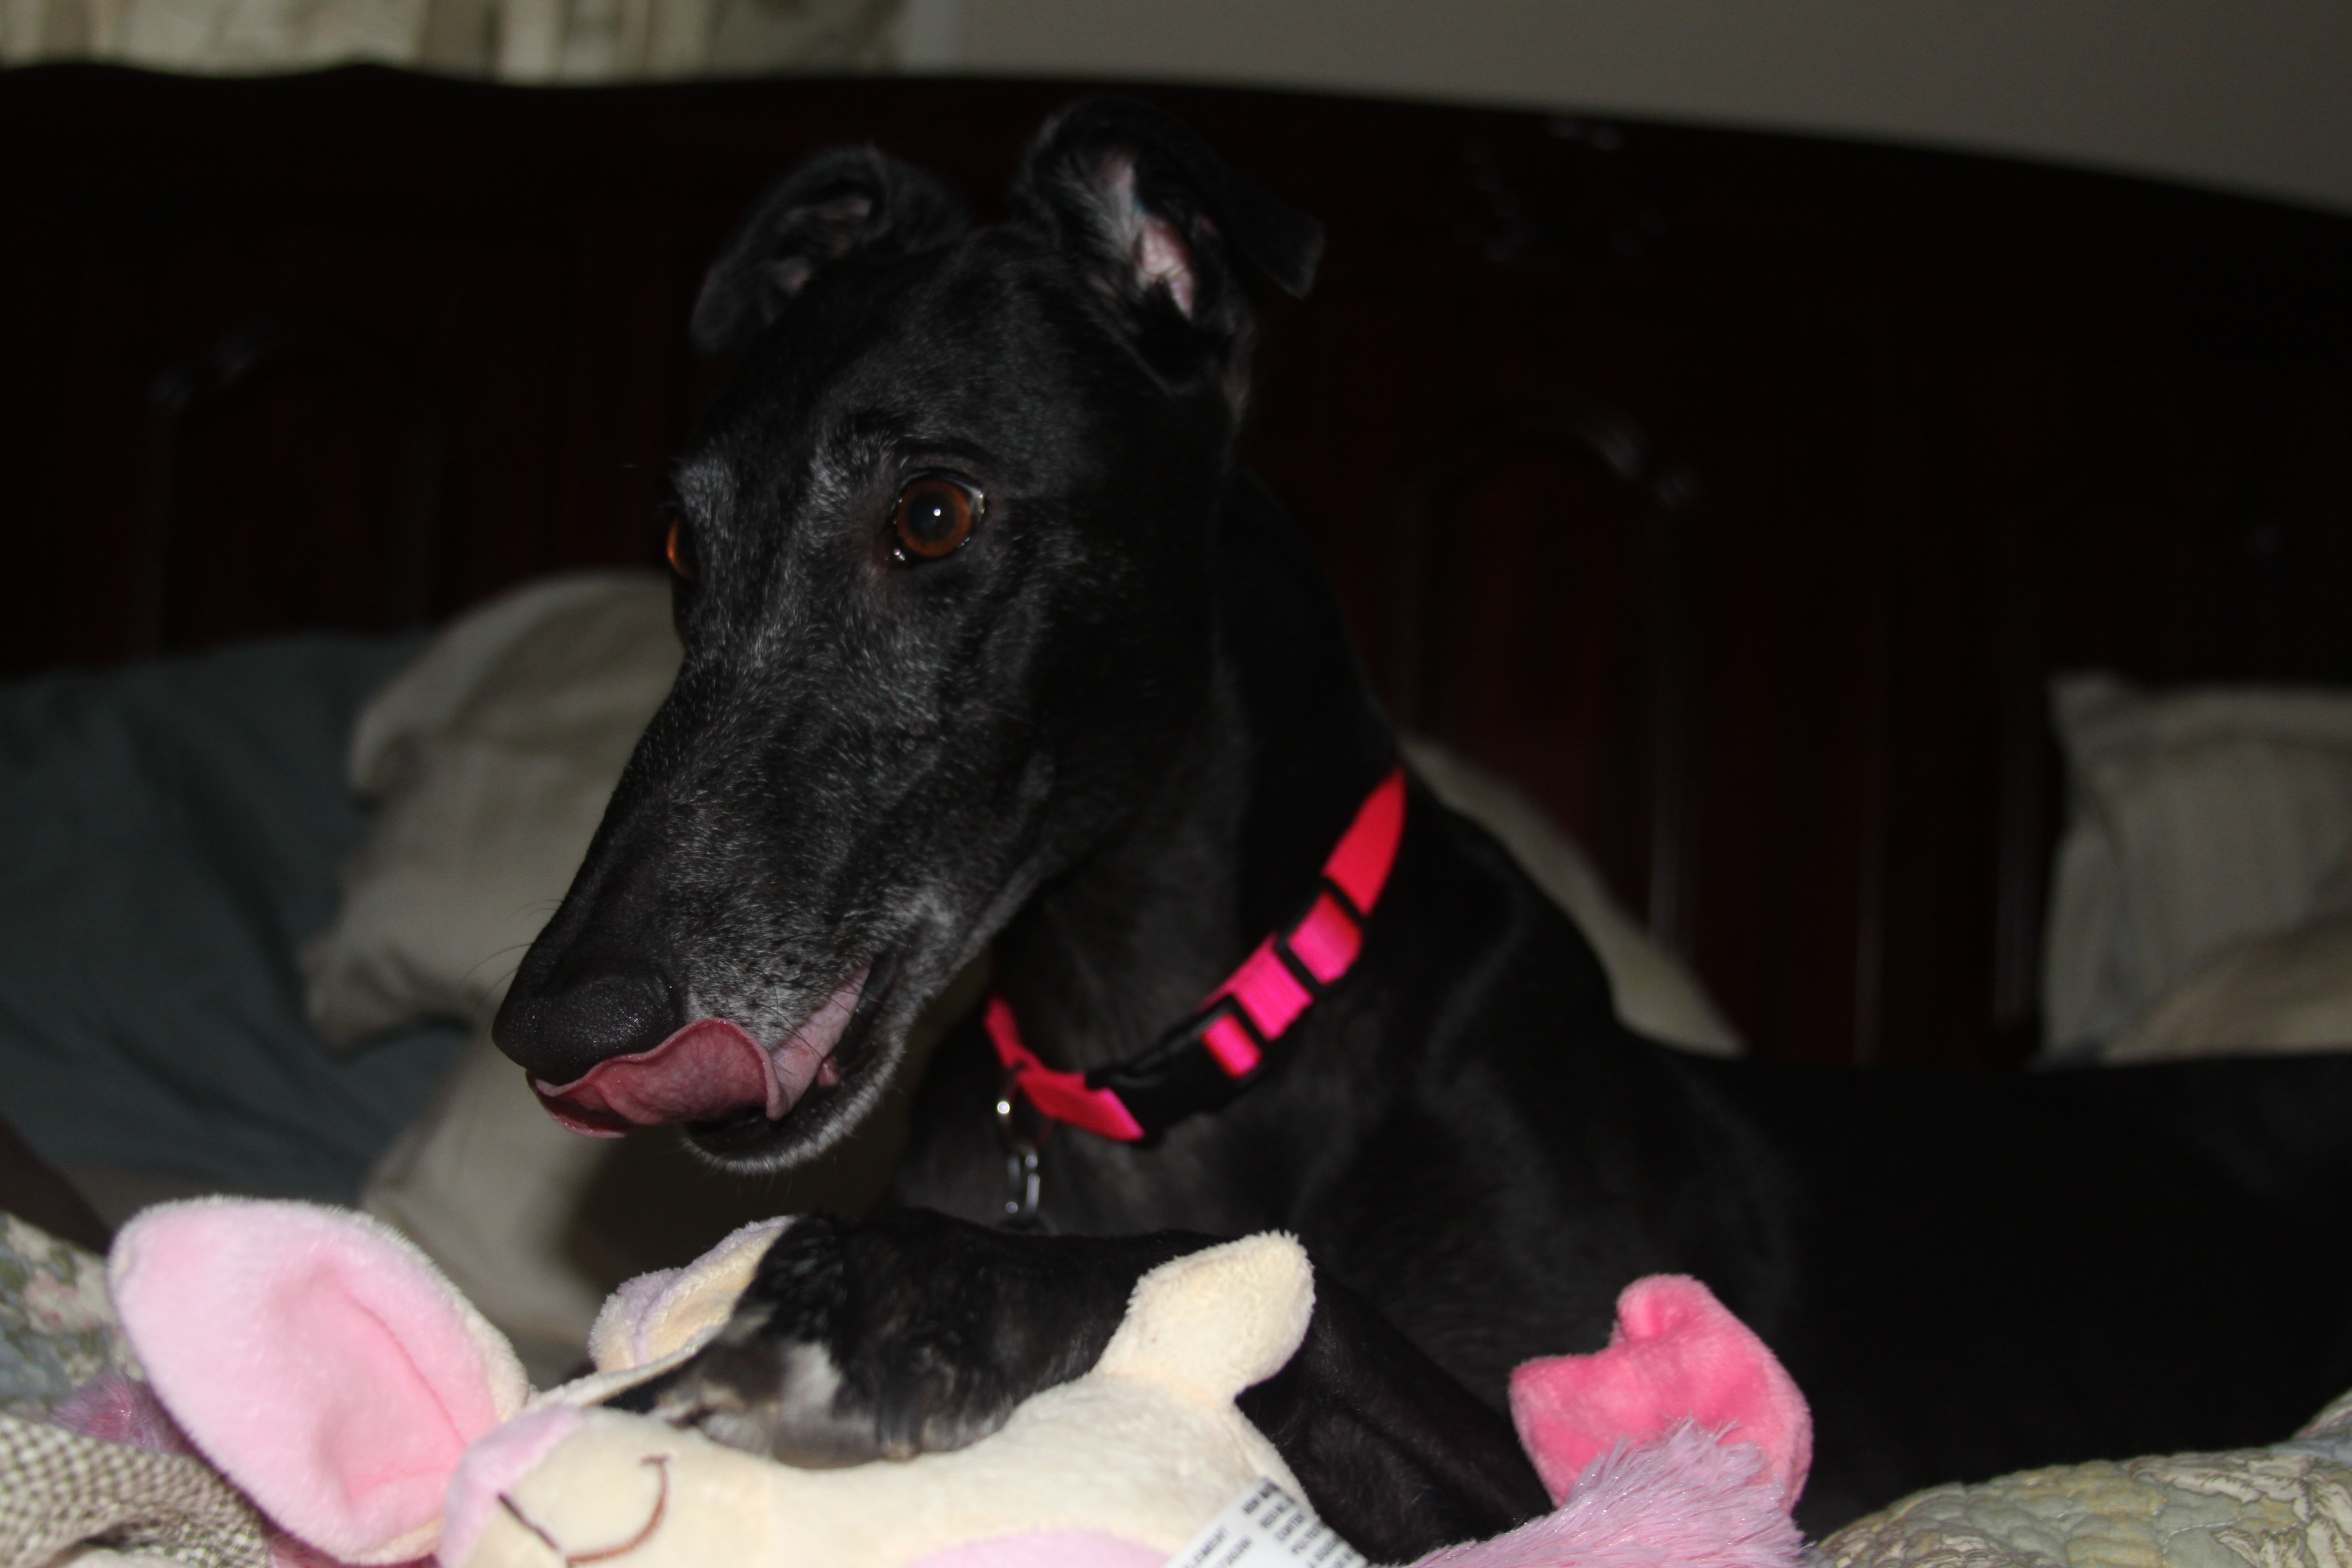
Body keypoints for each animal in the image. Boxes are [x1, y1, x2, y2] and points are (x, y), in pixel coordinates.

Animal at [492, 97, 2352, 1553]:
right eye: (683, 543)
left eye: (933, 514)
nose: (556, 1027)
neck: (1149, 1052)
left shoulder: (1667, 1485)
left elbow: (1266, 1277)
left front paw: (877, 1288)